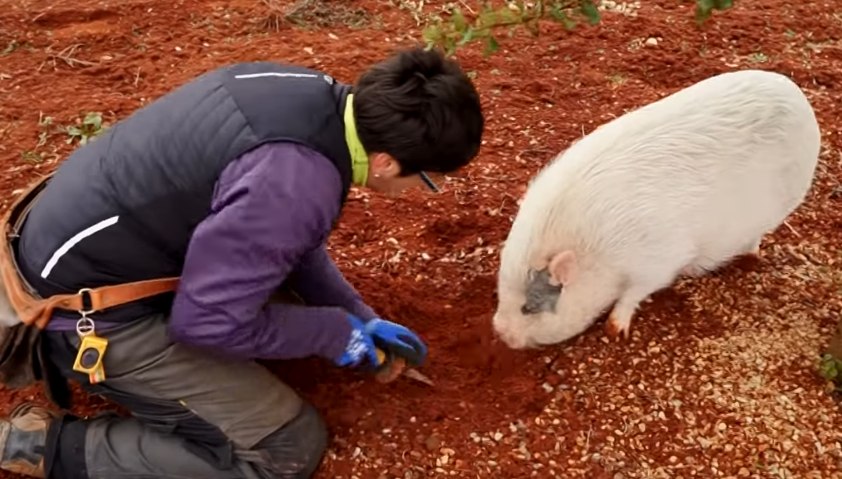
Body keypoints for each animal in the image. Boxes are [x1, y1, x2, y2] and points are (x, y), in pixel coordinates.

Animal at [492, 68, 820, 348]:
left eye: (529, 307)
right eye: (500, 292)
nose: (499, 332)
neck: (598, 251)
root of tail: (796, 93)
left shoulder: (660, 260)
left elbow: (634, 294)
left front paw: (615, 331)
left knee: (757, 235)